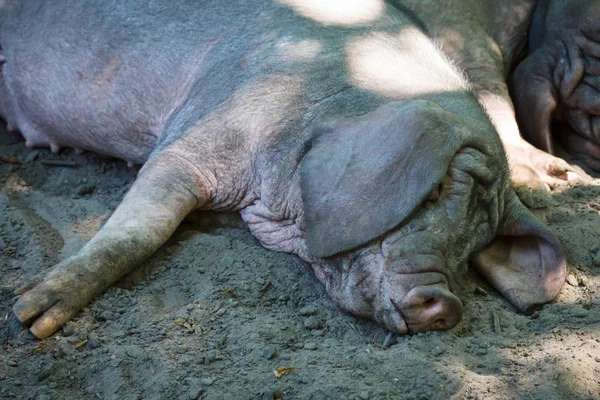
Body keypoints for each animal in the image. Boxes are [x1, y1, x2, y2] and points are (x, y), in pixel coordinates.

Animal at [0, 0, 564, 340]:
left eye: (473, 245)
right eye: (434, 191)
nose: (445, 302)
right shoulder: (208, 128)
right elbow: (141, 231)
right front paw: (29, 317)